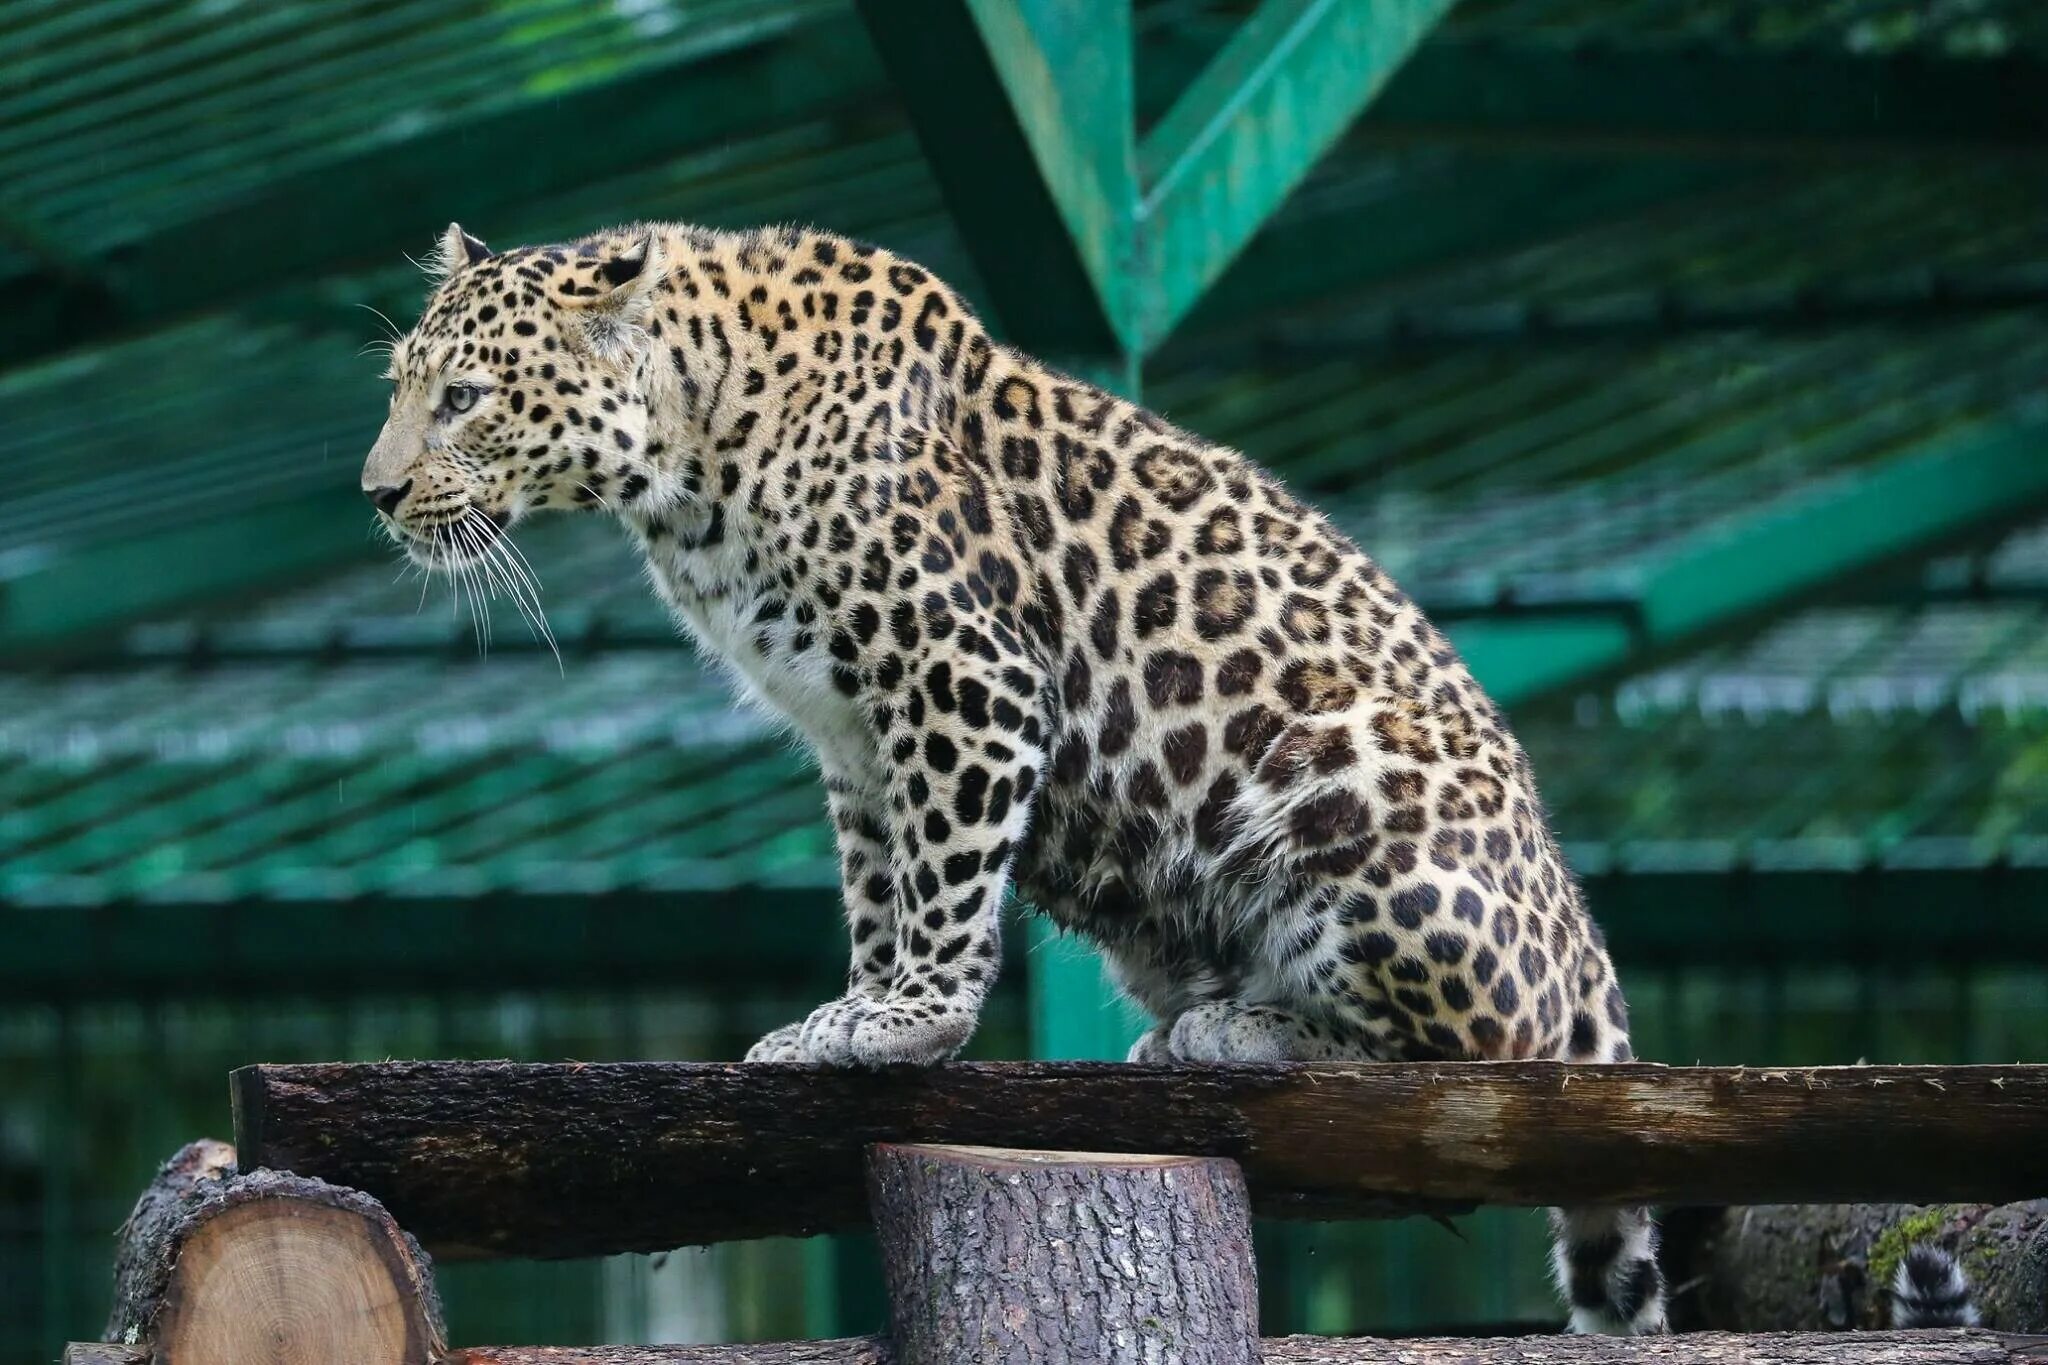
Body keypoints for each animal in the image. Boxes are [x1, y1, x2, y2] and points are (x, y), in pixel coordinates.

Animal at [364, 222, 1662, 1334]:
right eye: (397, 386)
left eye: (464, 397)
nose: (376, 494)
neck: (688, 463)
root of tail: (1583, 946)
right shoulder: (850, 734)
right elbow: (879, 886)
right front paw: (848, 1012)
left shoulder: (961, 673)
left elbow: (941, 875)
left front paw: (910, 1022)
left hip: (1352, 782)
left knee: (1473, 1059)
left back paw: (1243, 1030)